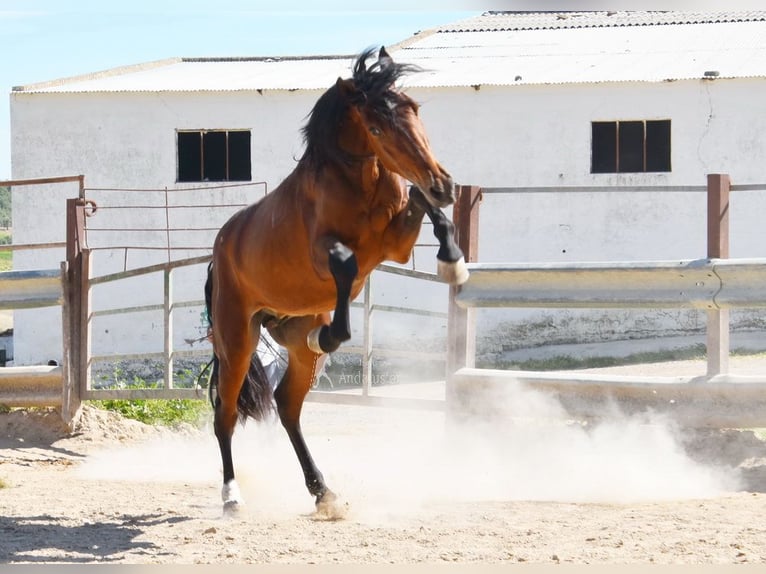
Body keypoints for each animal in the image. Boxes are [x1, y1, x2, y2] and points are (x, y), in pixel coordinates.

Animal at [204, 46, 467, 517]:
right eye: (377, 127)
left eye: (415, 110)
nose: (445, 184)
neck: (360, 185)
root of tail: (220, 249)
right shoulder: (325, 254)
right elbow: (346, 265)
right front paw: (332, 333)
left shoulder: (397, 245)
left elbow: (426, 208)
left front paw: (454, 263)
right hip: (236, 340)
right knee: (226, 414)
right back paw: (232, 495)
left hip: (289, 341)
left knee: (288, 406)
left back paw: (323, 491)